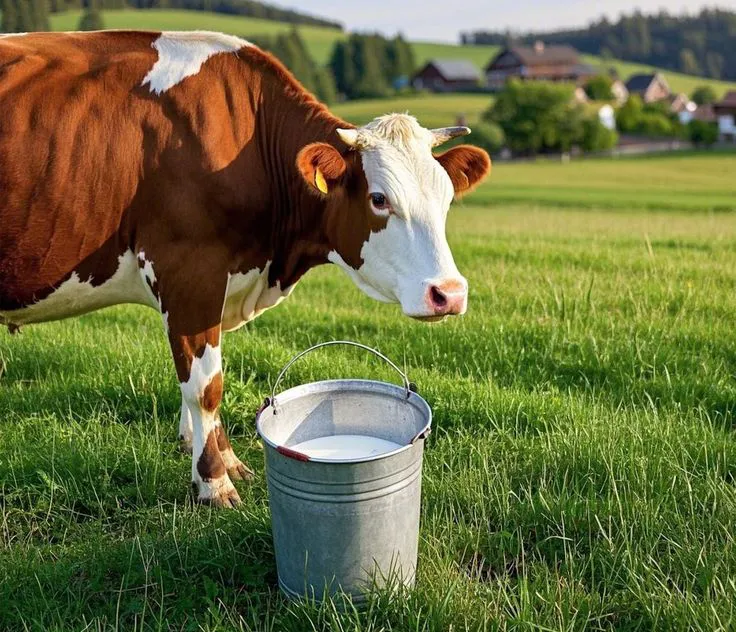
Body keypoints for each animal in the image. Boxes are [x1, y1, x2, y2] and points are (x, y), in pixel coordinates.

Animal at [0, 31, 491, 507]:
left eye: (447, 197)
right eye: (379, 198)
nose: (449, 293)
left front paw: (231, 463)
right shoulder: (189, 271)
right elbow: (205, 387)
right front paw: (214, 483)